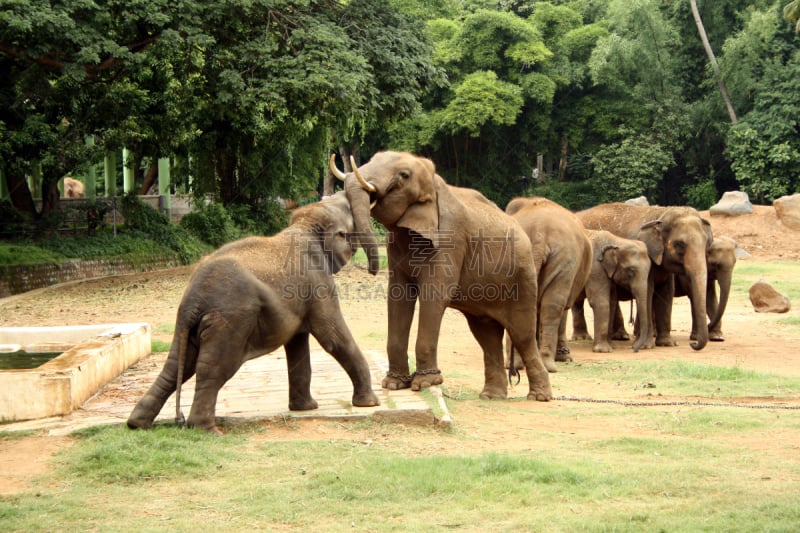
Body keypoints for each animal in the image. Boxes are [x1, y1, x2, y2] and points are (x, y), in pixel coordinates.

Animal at [127, 191, 382, 432]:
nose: (372, 271)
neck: (305, 224)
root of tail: (193, 301)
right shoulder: (318, 284)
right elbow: (332, 337)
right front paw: (370, 403)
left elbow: (298, 344)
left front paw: (305, 408)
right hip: (230, 320)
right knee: (214, 369)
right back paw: (207, 430)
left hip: (185, 324)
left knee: (176, 366)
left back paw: (137, 424)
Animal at [330, 150, 552, 400]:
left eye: (403, 176)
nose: (370, 270)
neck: (434, 183)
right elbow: (398, 298)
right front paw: (394, 384)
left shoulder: (450, 239)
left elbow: (434, 296)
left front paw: (425, 383)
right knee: (486, 336)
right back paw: (491, 396)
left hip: (523, 278)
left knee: (521, 334)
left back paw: (539, 397)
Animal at [506, 194, 592, 370]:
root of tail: (540, 233)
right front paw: (565, 358)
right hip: (565, 259)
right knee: (554, 305)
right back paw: (547, 364)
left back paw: (518, 364)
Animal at [580, 203, 716, 350]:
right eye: (680, 244)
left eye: (706, 243)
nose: (693, 344)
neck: (661, 213)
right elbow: (648, 293)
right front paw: (646, 346)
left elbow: (667, 293)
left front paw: (667, 343)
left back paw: (620, 338)